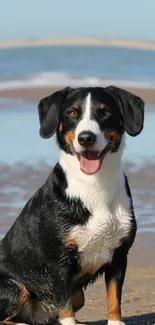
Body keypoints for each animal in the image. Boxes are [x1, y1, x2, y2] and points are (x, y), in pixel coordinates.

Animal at [0, 85, 144, 324]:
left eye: (105, 112)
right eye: (72, 113)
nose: (86, 138)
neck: (95, 186)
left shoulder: (119, 256)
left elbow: (114, 298)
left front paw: (115, 322)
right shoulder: (58, 260)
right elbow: (64, 304)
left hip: (79, 294)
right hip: (14, 287)